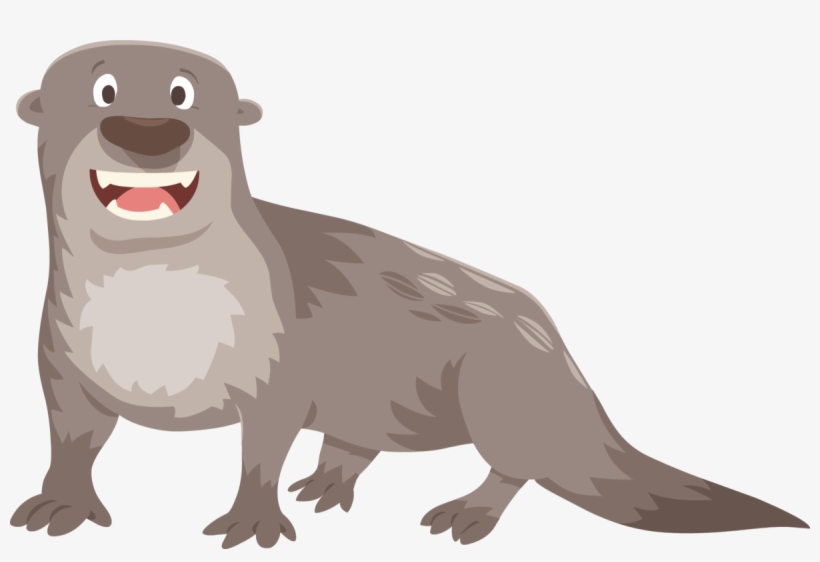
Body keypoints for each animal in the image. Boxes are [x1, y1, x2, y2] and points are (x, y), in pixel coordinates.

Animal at [10, 41, 808, 549]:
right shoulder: (62, 363)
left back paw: (465, 514)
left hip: (500, 387)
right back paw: (327, 483)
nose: (147, 131)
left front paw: (253, 521)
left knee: (517, 462)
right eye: (103, 91)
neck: (157, 322)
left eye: (184, 93)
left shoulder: (278, 369)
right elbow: (73, 436)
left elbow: (262, 448)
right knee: (358, 438)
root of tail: (562, 355)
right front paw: (60, 502)